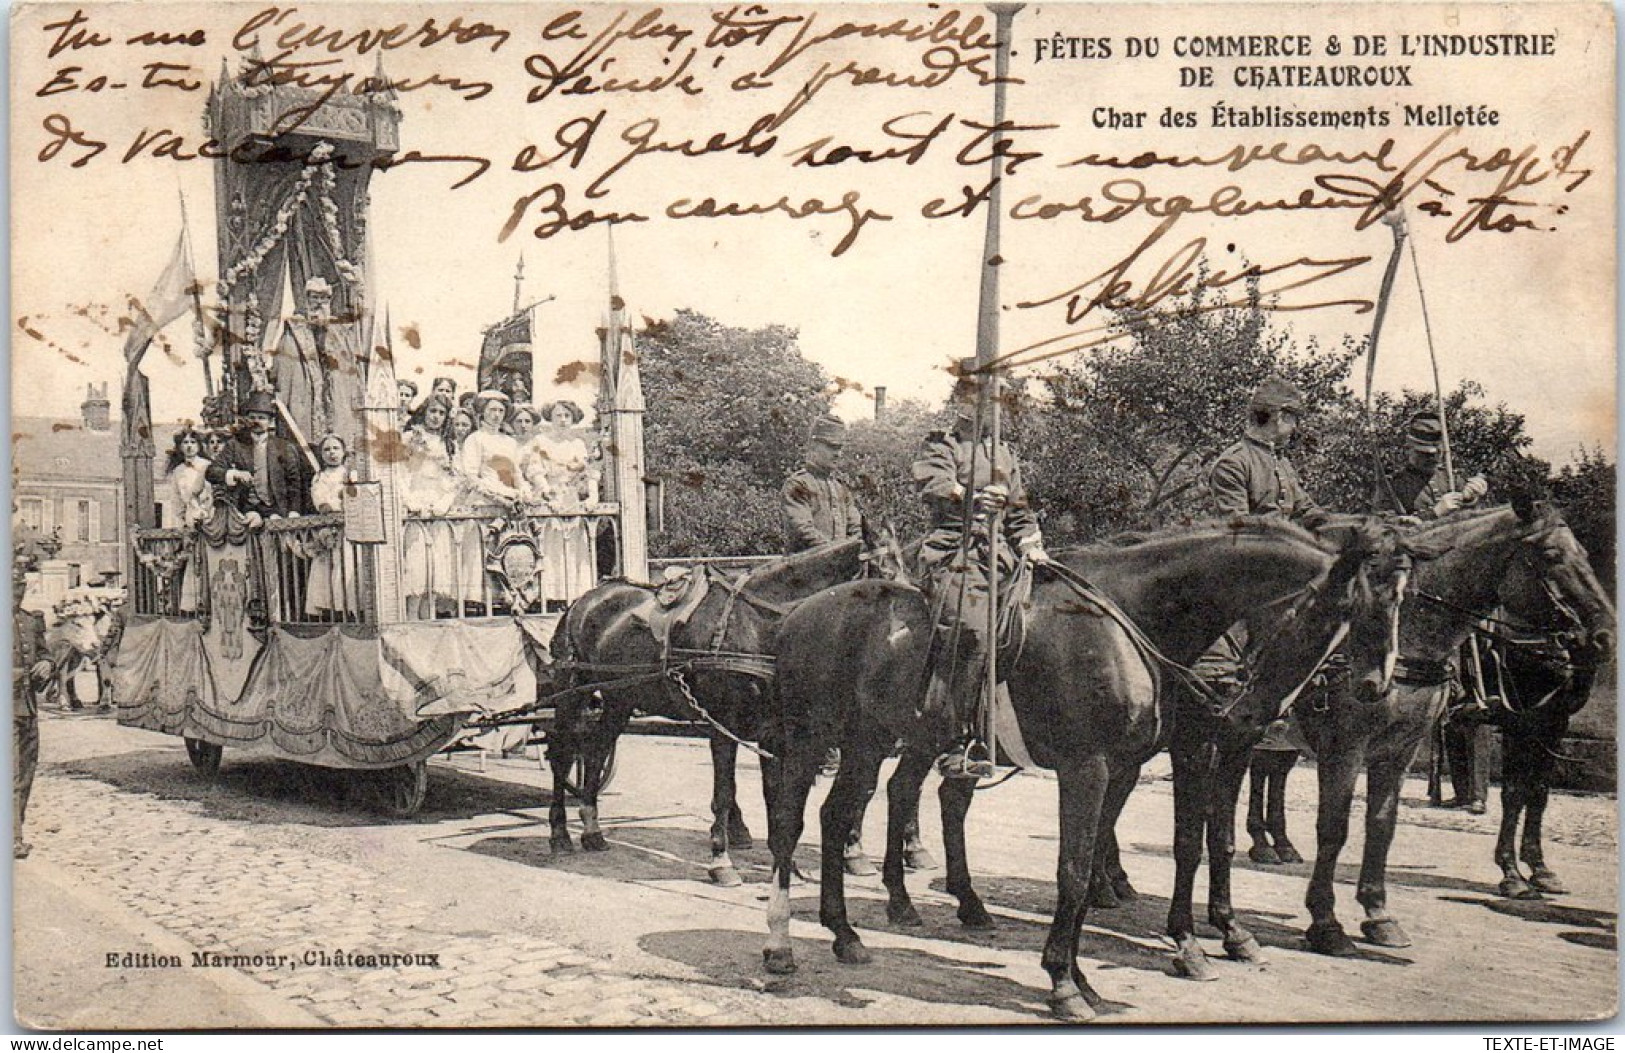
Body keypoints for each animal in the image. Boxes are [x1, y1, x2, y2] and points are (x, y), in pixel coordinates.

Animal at [546, 529, 903, 884]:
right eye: (885, 577)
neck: (759, 625)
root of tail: (586, 598)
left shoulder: (772, 731)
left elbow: (775, 795)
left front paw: (784, 862)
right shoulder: (723, 725)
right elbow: (724, 793)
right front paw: (721, 860)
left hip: (620, 699)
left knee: (595, 750)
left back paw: (592, 830)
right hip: (570, 693)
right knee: (562, 754)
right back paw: (560, 833)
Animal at [760, 516, 1410, 1020]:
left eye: (1400, 604)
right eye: (1346, 610)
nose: (1375, 689)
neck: (1132, 622)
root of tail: (795, 614)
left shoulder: (1123, 768)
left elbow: (1119, 855)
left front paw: (1085, 975)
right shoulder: (1090, 767)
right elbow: (1075, 869)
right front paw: (1066, 982)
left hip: (871, 742)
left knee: (842, 813)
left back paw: (848, 932)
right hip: (812, 739)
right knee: (789, 825)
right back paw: (781, 948)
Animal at [1293, 500, 1612, 955]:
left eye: (1584, 552)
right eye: (1551, 555)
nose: (1605, 636)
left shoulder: (1406, 747)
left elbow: (1383, 825)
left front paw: (1379, 915)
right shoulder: (1345, 747)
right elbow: (1334, 828)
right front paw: (1325, 922)